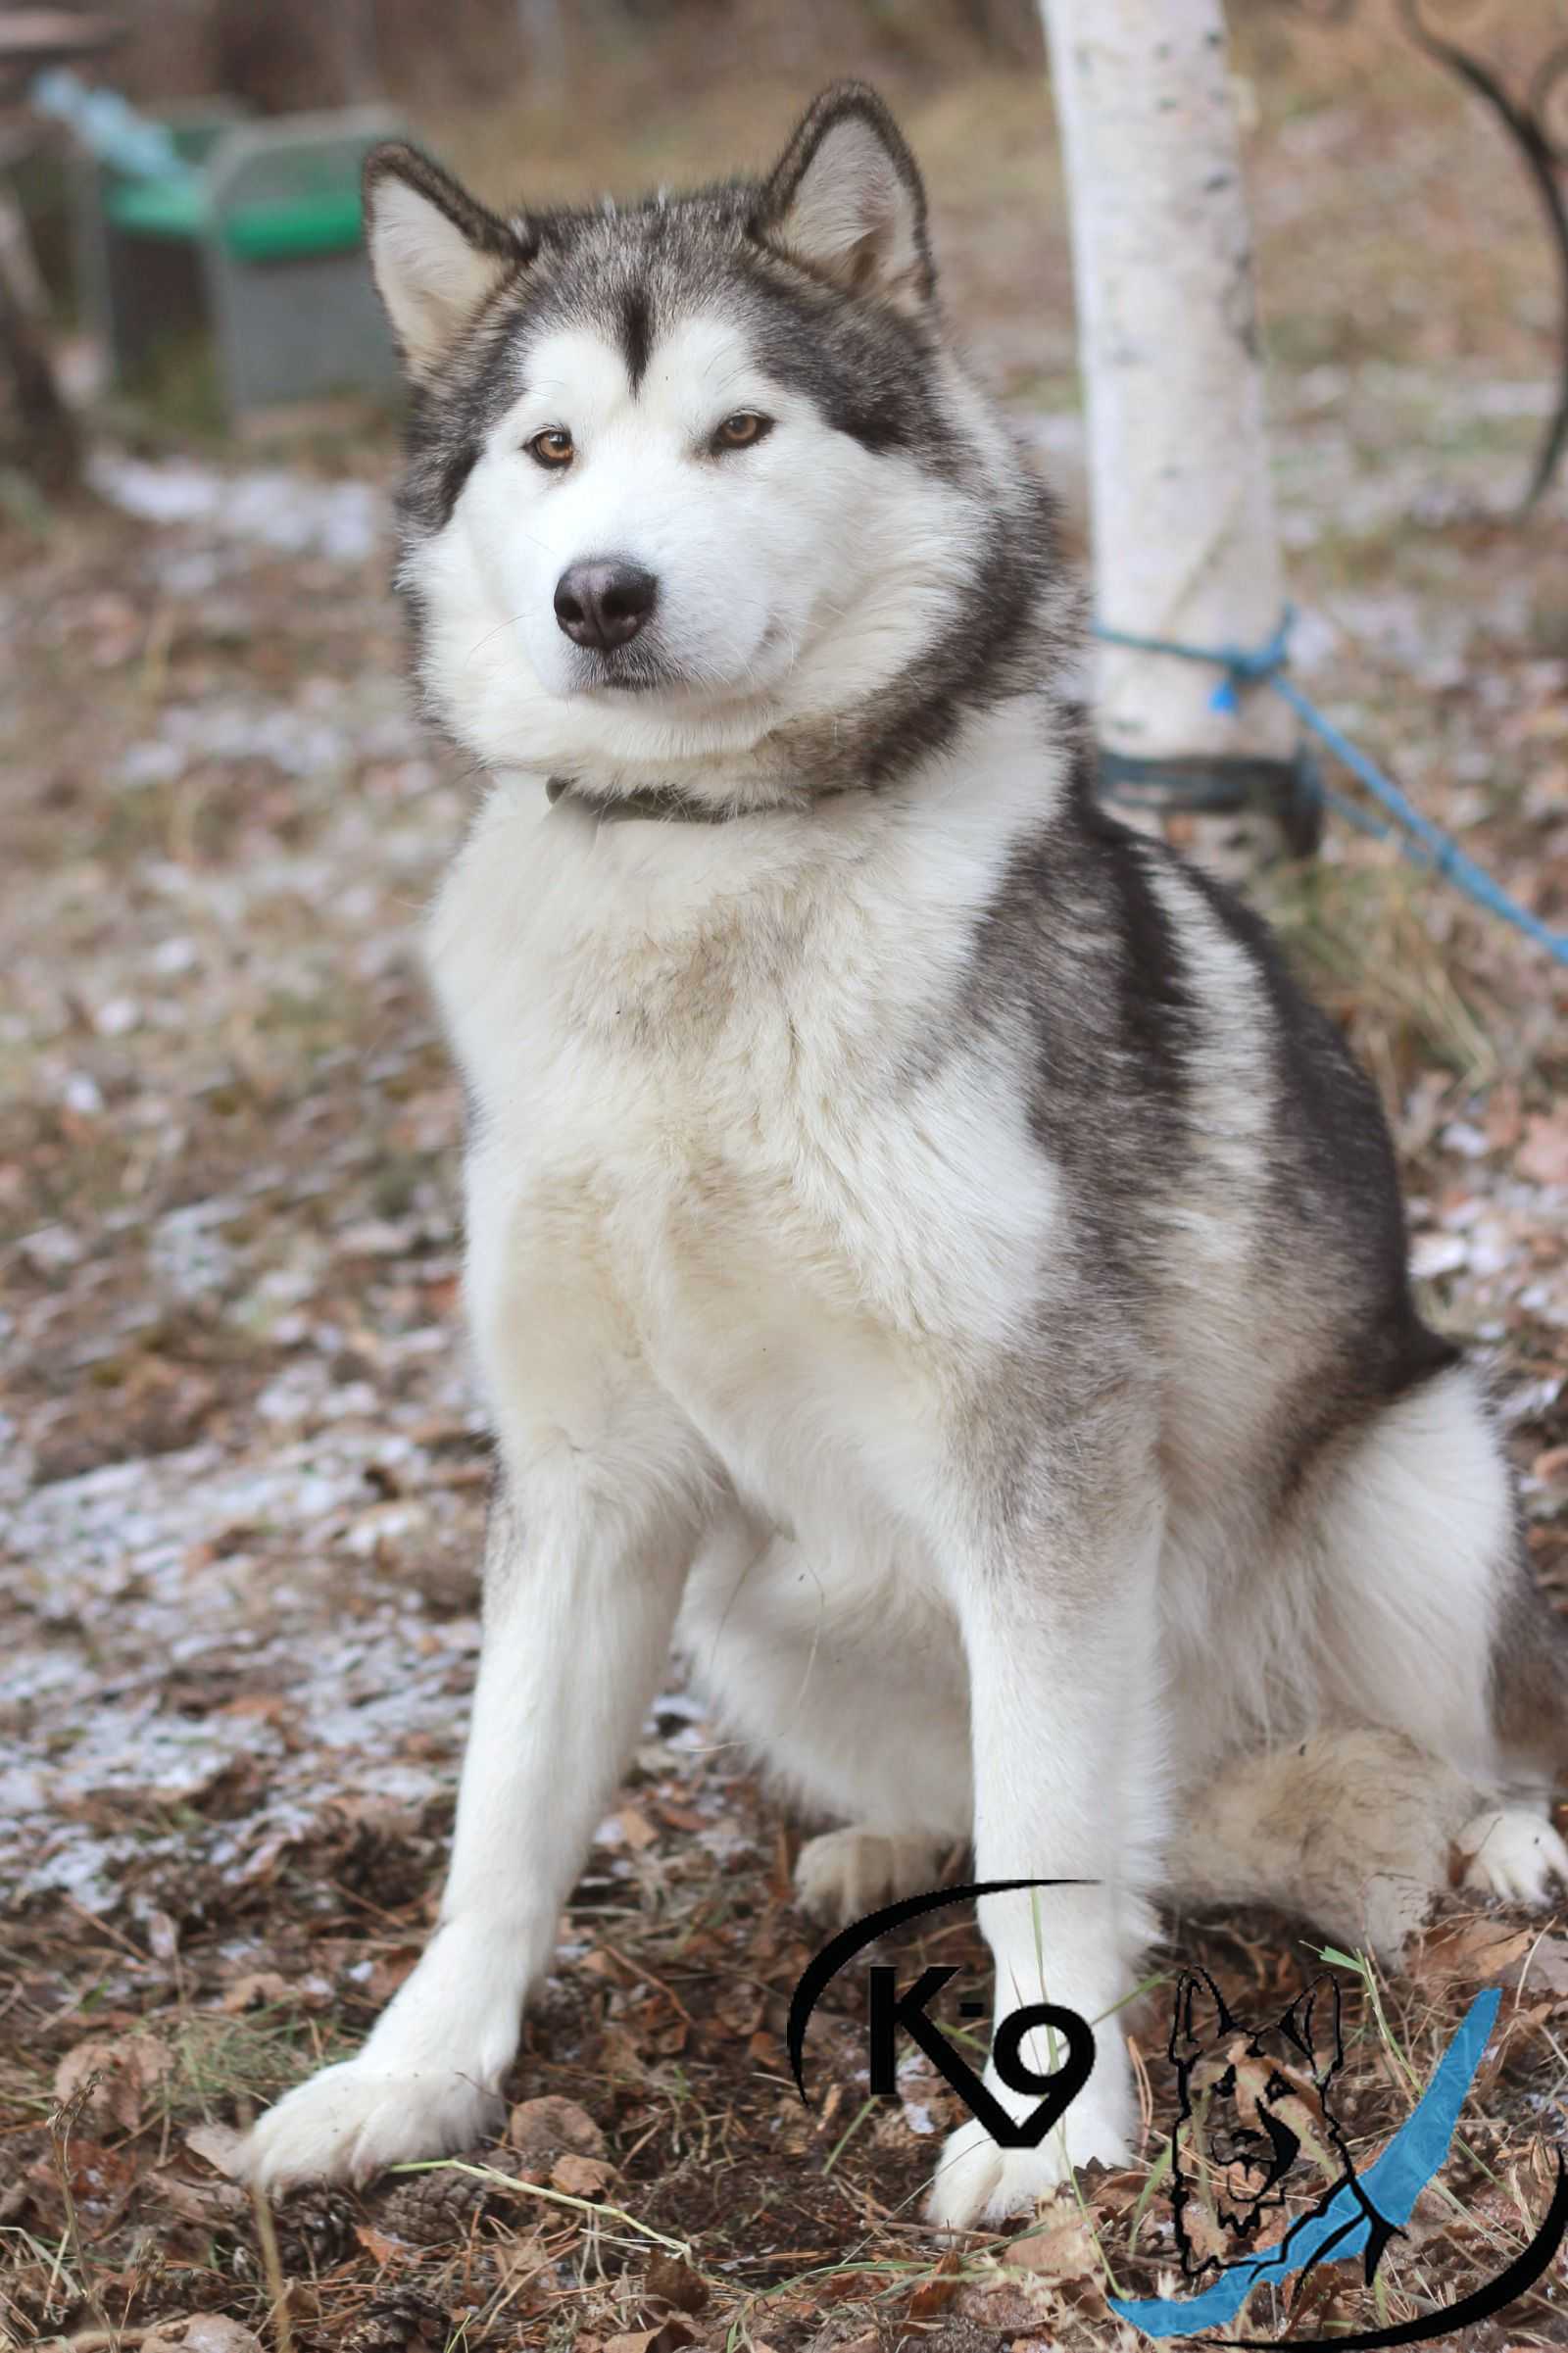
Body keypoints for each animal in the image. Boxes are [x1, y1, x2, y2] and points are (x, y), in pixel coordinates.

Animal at [244, 86, 1563, 2221]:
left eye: (738, 430)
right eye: (548, 449)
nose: (599, 594)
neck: (702, 893)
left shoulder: (1039, 1449)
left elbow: (1050, 1828)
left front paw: (1058, 2128)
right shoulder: (583, 1479)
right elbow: (501, 1822)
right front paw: (411, 2079)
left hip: (1412, 1479)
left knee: (1458, 1734)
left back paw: (1505, 1834)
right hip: (747, 1607)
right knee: (987, 1799)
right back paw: (882, 1847)